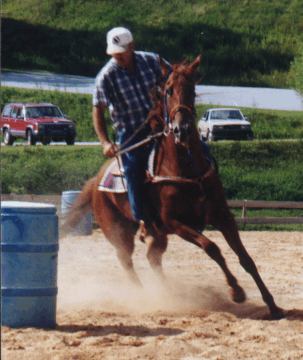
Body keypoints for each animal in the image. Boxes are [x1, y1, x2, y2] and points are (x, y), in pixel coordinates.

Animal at [66, 54, 284, 320]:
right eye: (168, 90)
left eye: (192, 89)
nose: (182, 129)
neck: (186, 168)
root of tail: (96, 181)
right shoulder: (175, 223)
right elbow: (212, 247)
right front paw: (236, 291)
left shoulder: (223, 216)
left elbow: (246, 258)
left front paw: (272, 305)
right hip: (119, 232)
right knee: (126, 261)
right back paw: (144, 296)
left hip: (158, 235)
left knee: (153, 257)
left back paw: (168, 293)